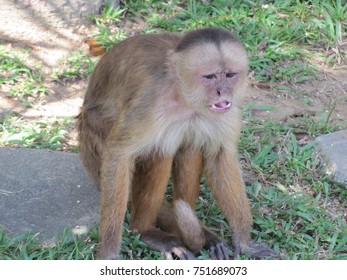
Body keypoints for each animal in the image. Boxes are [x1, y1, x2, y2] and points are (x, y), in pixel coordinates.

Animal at [77, 27, 276, 260]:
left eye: (230, 75)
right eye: (210, 77)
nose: (223, 90)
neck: (184, 96)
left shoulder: (229, 108)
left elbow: (220, 156)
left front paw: (244, 243)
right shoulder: (151, 102)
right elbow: (119, 153)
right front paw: (109, 253)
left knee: (191, 145)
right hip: (94, 141)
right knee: (161, 150)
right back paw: (145, 231)